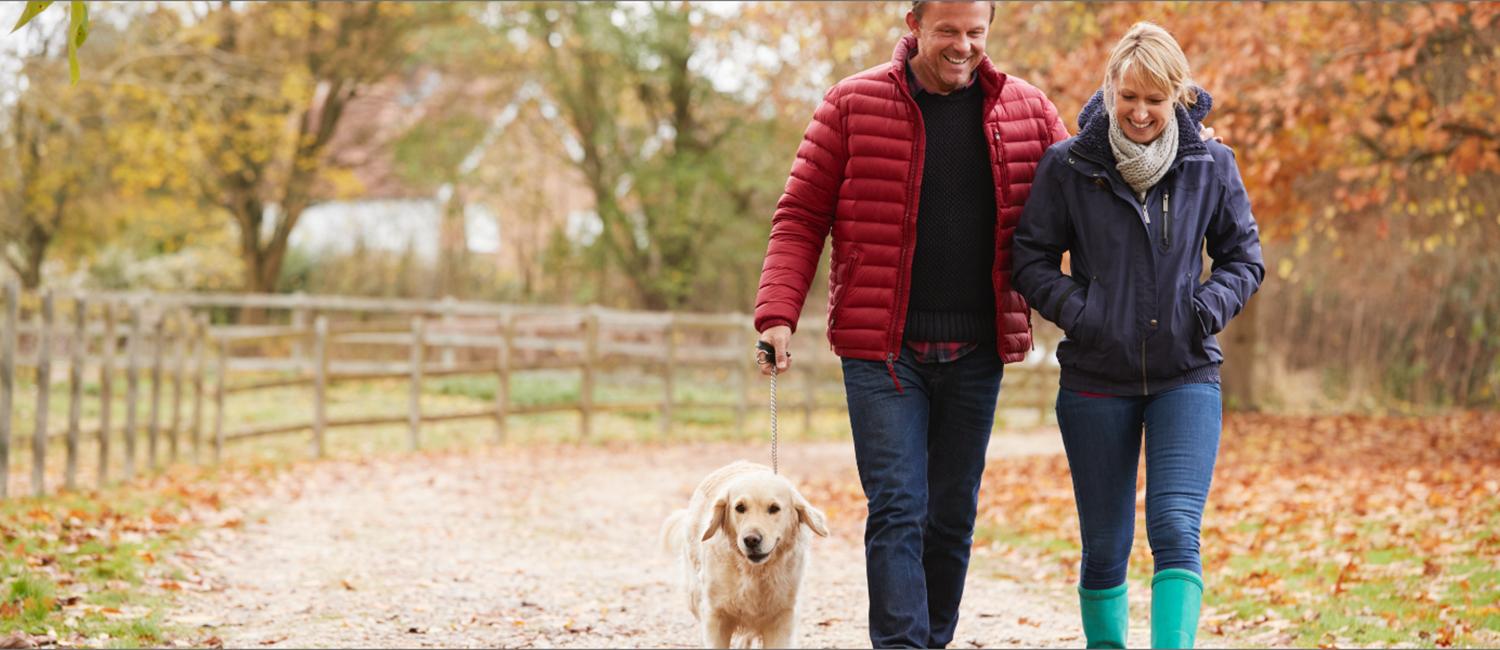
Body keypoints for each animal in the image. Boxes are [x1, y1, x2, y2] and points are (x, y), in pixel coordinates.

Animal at [663, 459, 834, 645]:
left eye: (774, 508)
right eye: (740, 507)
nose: (751, 540)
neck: (754, 572)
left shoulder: (782, 617)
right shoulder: (716, 615)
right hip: (694, 594)